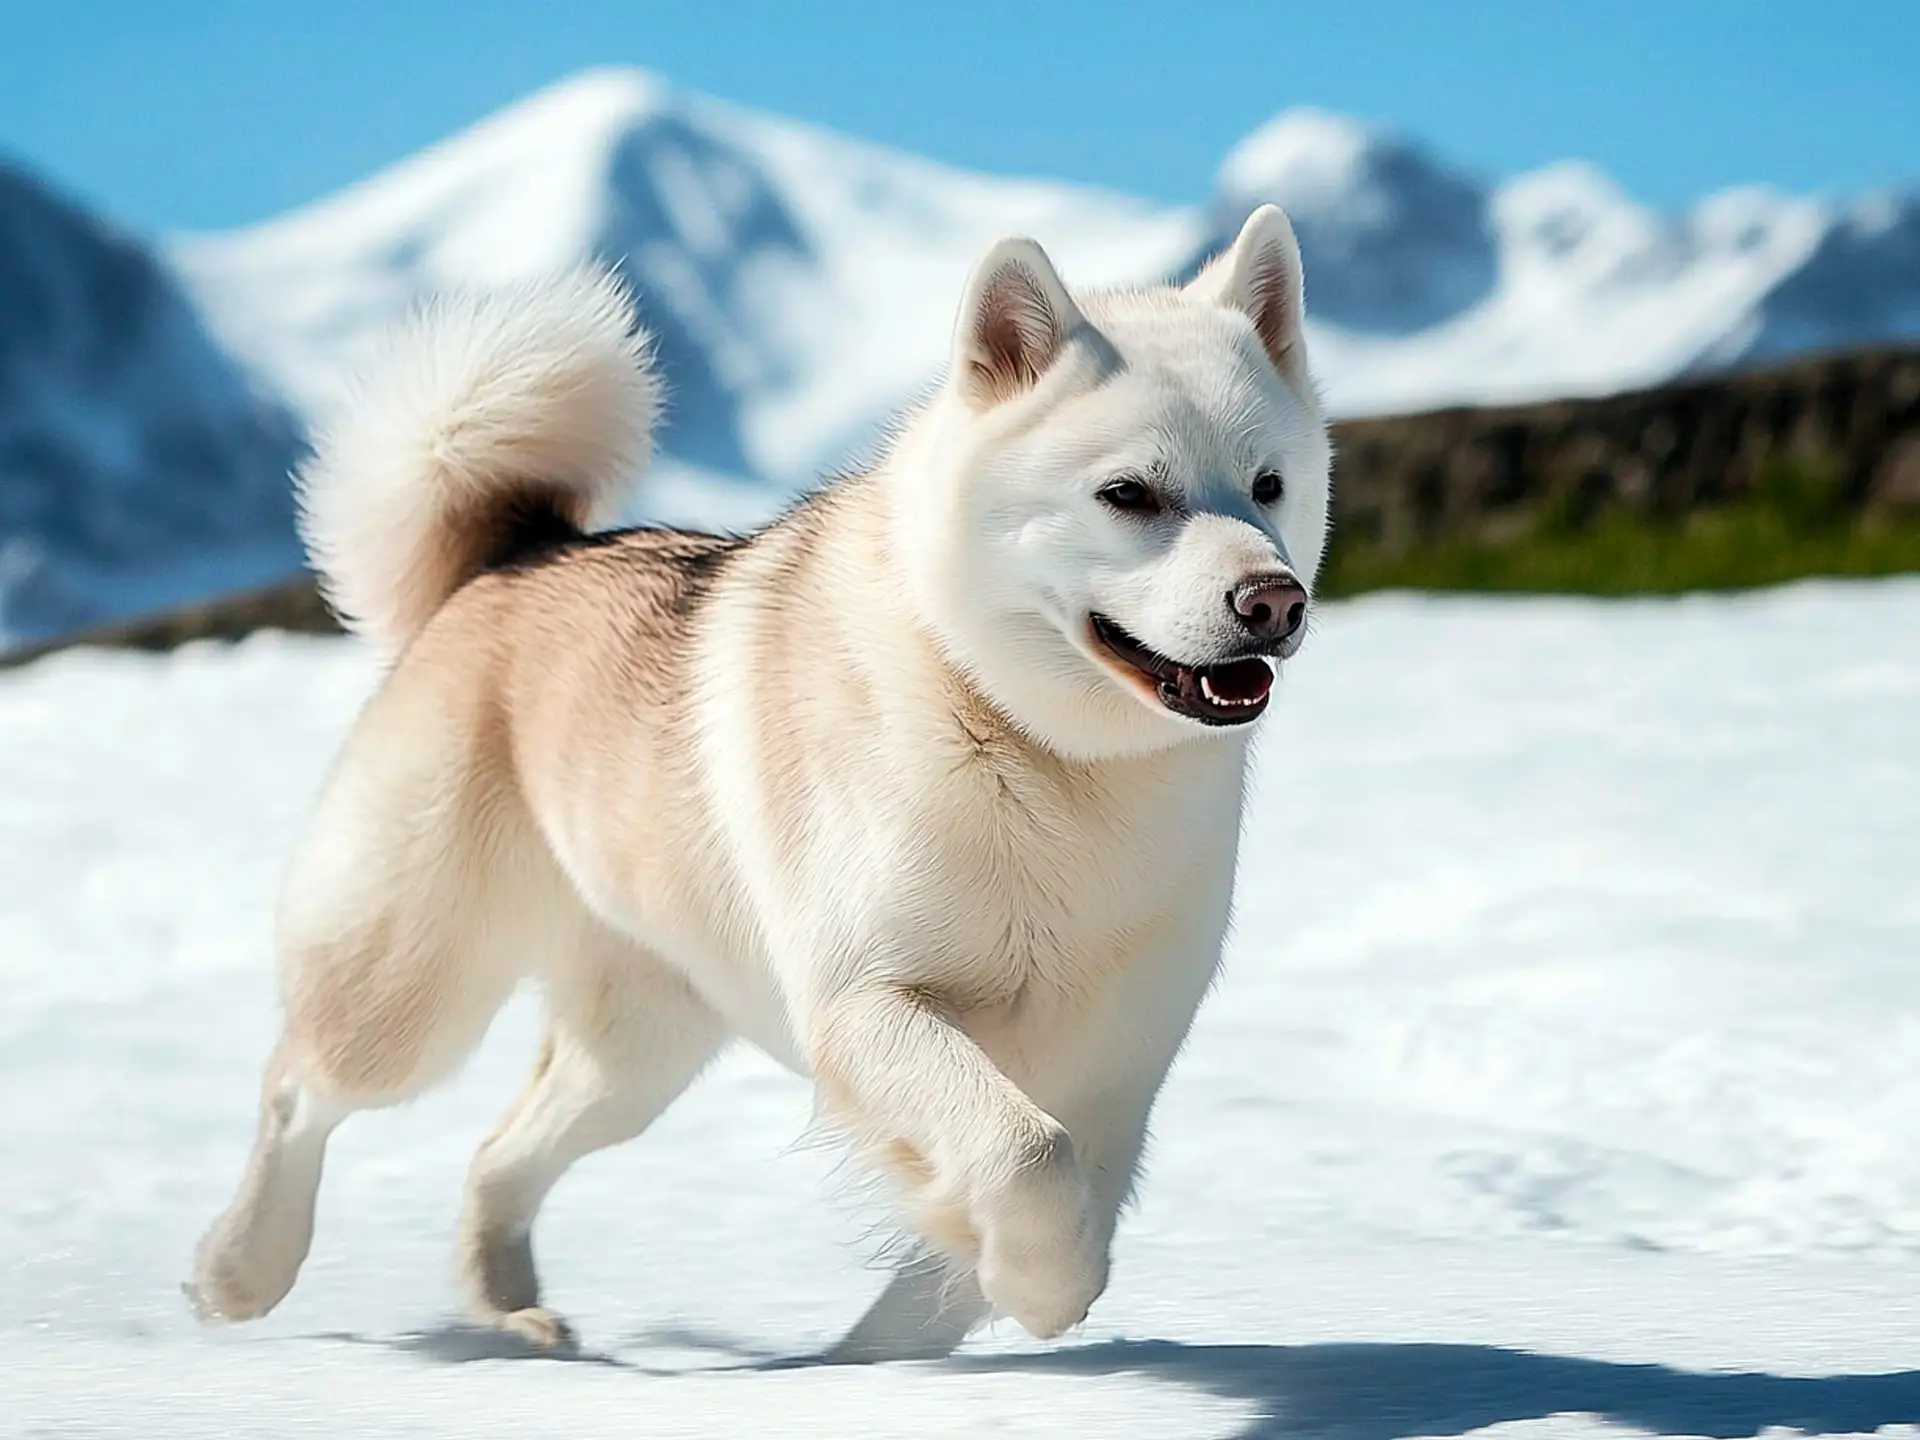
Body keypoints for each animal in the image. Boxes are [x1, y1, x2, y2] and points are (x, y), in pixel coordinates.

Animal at [191, 205, 1336, 1367]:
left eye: (1268, 485)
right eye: (1128, 495)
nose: (1273, 601)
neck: (1037, 753)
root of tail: (517, 553)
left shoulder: (1114, 1067)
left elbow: (1023, 1207)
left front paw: (875, 1356)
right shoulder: (868, 1003)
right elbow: (1025, 1157)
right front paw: (1035, 1288)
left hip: (635, 1053)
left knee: (498, 1152)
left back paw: (509, 1310)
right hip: (410, 989)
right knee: (298, 1088)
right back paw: (241, 1269)